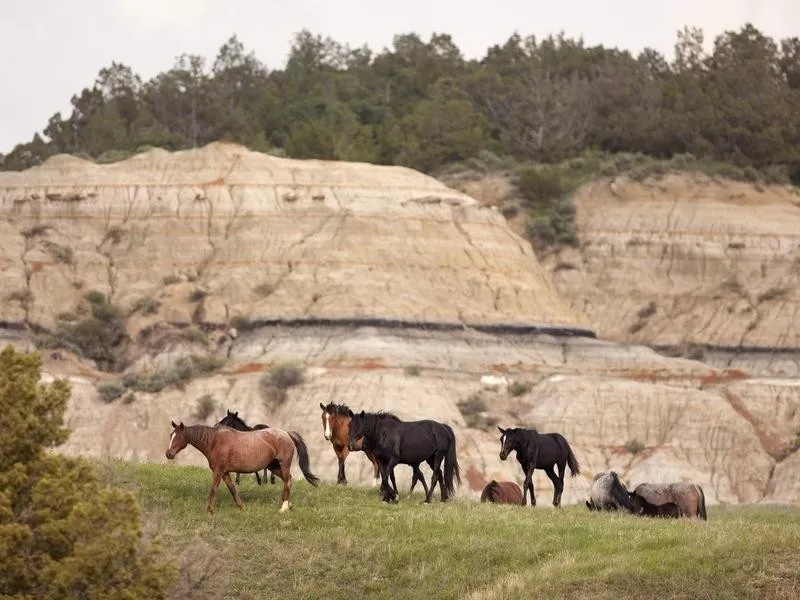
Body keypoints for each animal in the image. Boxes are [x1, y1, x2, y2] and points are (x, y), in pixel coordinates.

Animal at [165, 420, 318, 512]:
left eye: (179, 437)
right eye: (171, 435)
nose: (168, 454)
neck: (214, 441)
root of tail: (286, 434)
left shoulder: (218, 471)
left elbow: (214, 489)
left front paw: (209, 510)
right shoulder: (224, 472)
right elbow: (232, 489)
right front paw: (241, 506)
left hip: (283, 464)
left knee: (287, 481)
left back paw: (284, 507)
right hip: (273, 467)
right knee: (289, 480)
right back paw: (288, 504)